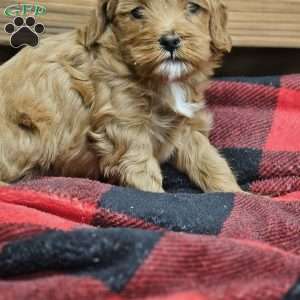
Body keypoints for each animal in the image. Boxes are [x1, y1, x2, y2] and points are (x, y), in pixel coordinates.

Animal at [0, 0, 241, 192]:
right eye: (137, 12)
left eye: (193, 7)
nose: (170, 41)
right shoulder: (124, 124)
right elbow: (140, 166)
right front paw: (156, 195)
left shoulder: (186, 125)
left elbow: (208, 159)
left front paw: (236, 193)